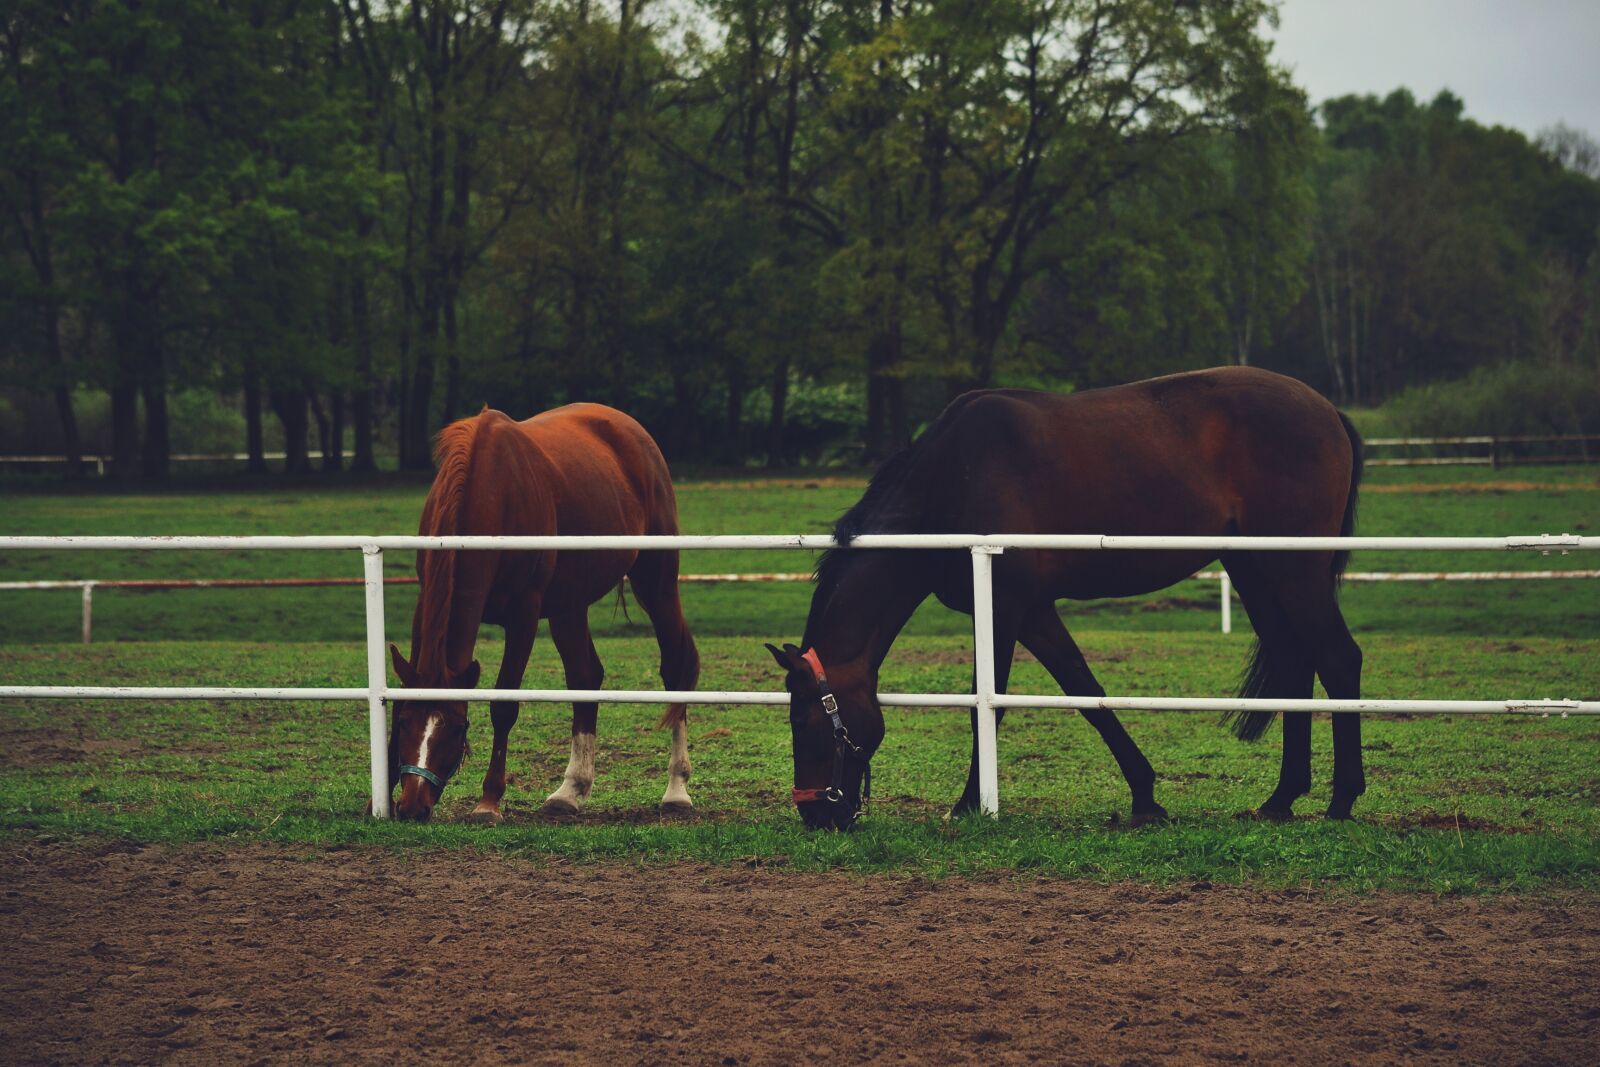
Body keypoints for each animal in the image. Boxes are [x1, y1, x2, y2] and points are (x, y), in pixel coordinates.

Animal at [384, 404, 700, 822]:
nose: (413, 806)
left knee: (675, 668)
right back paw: (570, 791)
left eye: (456, 727)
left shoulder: (524, 614)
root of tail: (634, 432)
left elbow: (504, 705)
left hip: (656, 581)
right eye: (406, 723)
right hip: (570, 604)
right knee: (586, 677)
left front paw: (489, 801)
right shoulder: (425, 605)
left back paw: (676, 790)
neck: (489, 490)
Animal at [766, 366, 1364, 830]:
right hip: (1254, 568)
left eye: (805, 722)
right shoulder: (1034, 613)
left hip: (1293, 569)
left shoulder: (1003, 610)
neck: (949, 481)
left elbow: (989, 708)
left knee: (1338, 658)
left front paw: (967, 806)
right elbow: (1085, 691)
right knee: (1294, 660)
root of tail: (1328, 409)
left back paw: (1341, 801)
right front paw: (1145, 796)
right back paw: (1281, 799)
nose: (816, 814)